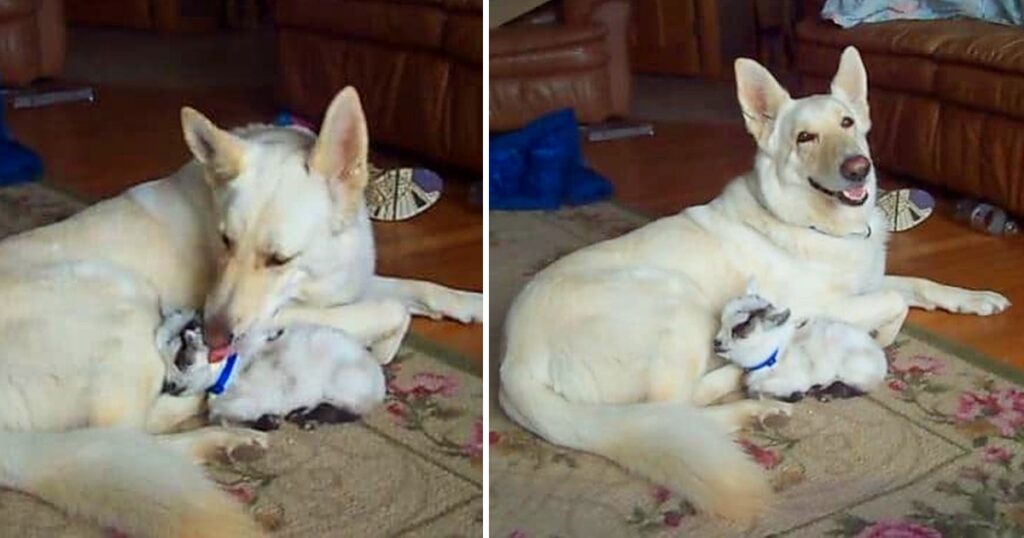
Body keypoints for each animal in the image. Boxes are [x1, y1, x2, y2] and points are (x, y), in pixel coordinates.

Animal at [0, 86, 481, 532]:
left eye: (279, 259)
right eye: (226, 241)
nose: (207, 333)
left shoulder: (344, 285)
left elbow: (414, 288)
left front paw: (469, 302)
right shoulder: (284, 316)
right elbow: (390, 311)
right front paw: (383, 348)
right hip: (125, 300)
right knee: (123, 435)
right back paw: (216, 429)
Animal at [495, 48, 1007, 522]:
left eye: (848, 122)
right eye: (805, 138)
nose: (859, 167)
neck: (814, 223)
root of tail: (512, 362)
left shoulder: (868, 279)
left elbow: (918, 284)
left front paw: (976, 298)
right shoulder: (821, 304)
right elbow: (893, 301)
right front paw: (881, 336)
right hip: (677, 301)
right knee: (674, 408)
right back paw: (747, 398)